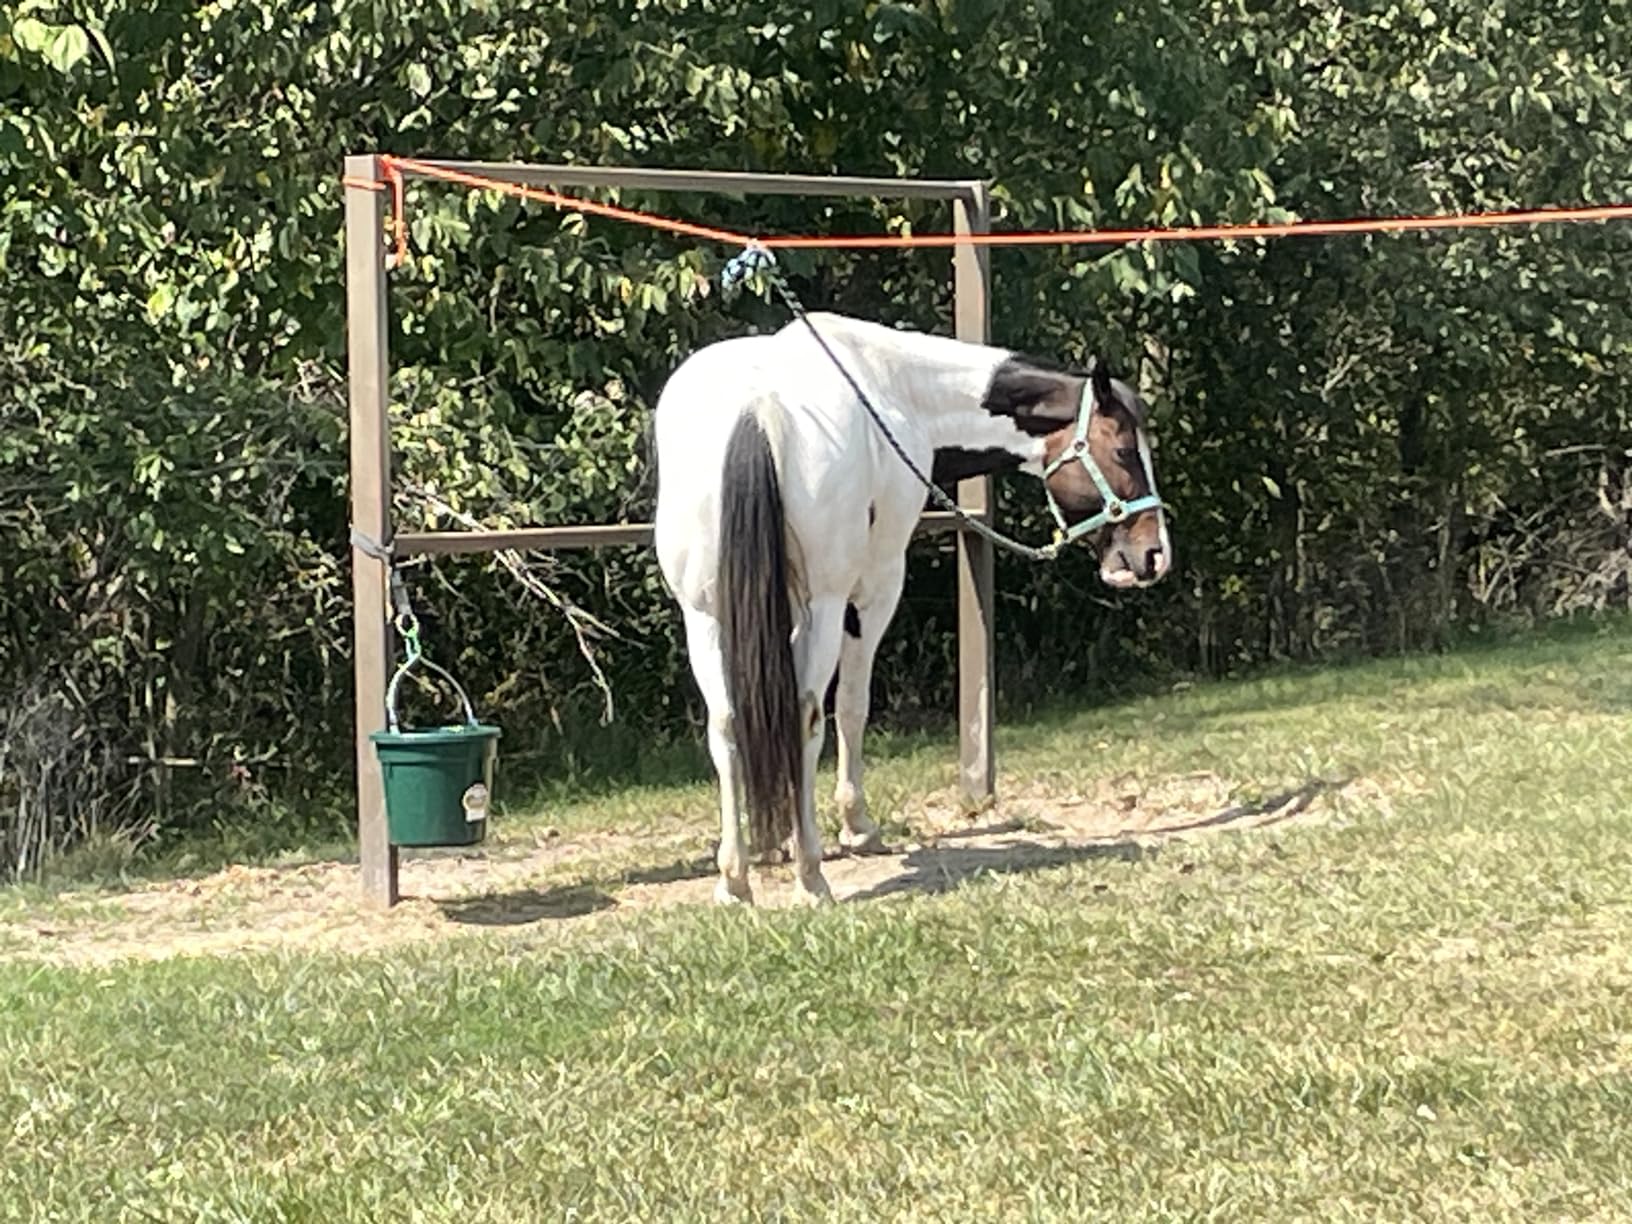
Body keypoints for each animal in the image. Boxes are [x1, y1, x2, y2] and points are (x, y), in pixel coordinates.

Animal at [652, 310, 1171, 906]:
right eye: (1124, 451)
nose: (1154, 555)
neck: (894, 389)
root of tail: (757, 410)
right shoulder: (872, 590)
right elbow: (850, 706)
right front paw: (855, 825)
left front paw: (778, 837)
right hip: (826, 604)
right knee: (807, 713)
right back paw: (811, 875)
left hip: (704, 615)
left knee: (727, 722)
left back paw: (735, 878)